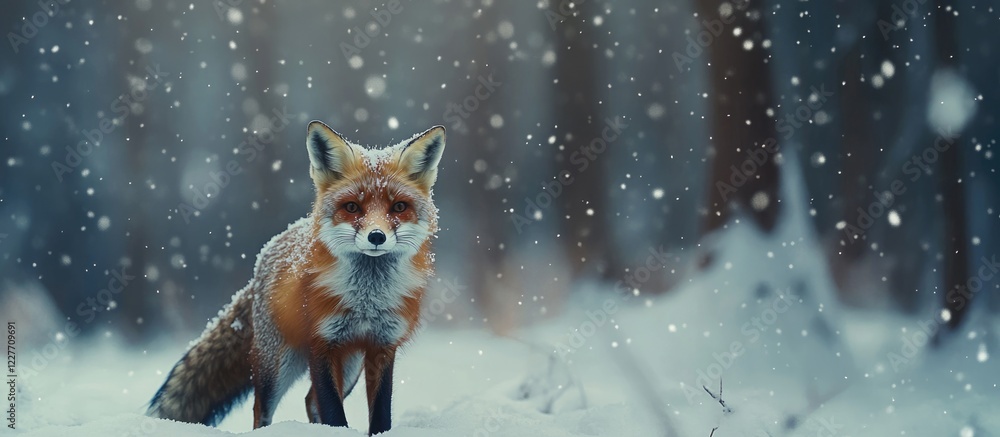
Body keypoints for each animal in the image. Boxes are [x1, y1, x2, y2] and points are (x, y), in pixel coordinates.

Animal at [147, 121, 446, 435]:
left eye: (398, 207)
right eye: (352, 207)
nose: (377, 237)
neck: (366, 300)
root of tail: (266, 254)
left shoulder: (382, 346)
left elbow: (380, 414)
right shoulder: (320, 342)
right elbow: (333, 411)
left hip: (350, 363)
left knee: (309, 400)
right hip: (278, 364)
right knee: (263, 408)